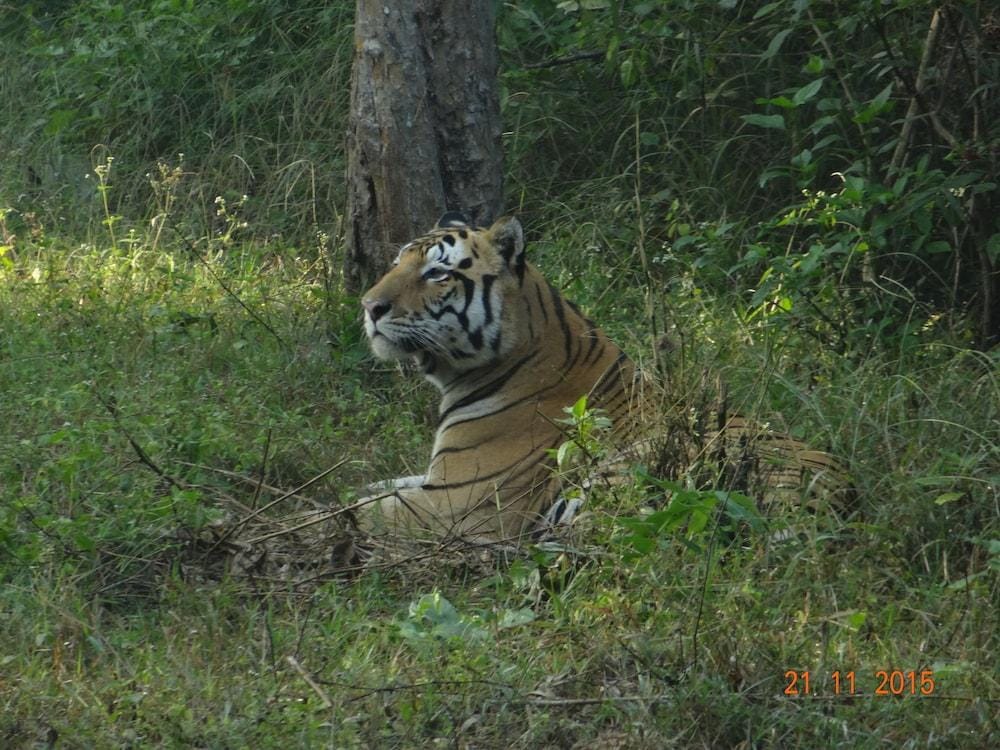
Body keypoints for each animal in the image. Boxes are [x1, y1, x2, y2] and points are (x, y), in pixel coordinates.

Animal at [356, 213, 849, 544]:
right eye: (398, 262)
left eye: (437, 273)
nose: (368, 306)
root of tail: (831, 504)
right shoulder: (433, 479)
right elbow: (374, 486)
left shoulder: (458, 501)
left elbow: (360, 510)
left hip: (632, 467)